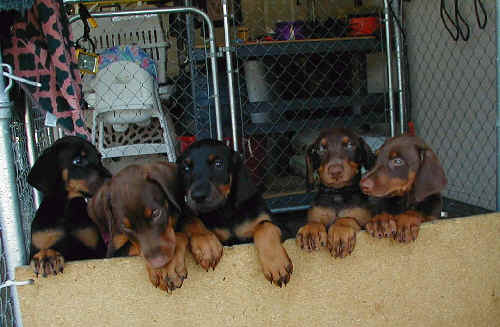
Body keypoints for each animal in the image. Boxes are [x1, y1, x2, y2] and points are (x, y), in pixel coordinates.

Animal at [27, 137, 112, 278]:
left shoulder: (95, 250)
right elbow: (43, 249)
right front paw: (46, 256)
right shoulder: (41, 239)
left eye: (99, 158)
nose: (113, 179)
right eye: (78, 160)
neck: (66, 210)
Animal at [87, 163, 188, 294]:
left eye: (156, 213)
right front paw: (160, 270)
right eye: (125, 226)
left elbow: (179, 235)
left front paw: (171, 268)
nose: (158, 263)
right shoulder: (113, 251)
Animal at [178, 140, 292, 288]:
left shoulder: (283, 228)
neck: (227, 211)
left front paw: (276, 264)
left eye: (218, 164)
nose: (197, 196)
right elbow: (191, 220)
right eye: (186, 168)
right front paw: (206, 245)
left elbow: (264, 225)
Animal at [294, 128, 374, 258]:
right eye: (321, 148)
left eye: (350, 145)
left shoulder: (364, 223)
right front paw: (311, 229)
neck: (337, 194)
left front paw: (340, 231)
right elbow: (314, 221)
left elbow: (347, 219)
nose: (335, 171)